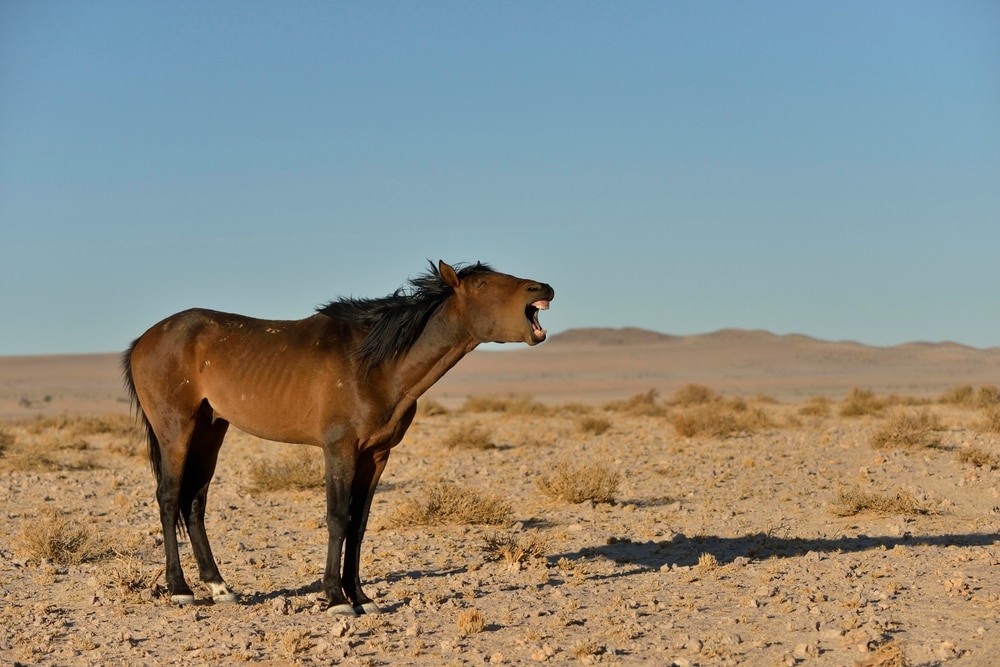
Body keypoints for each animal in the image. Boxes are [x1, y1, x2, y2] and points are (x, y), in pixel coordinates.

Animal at [122, 260, 554, 616]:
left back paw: (220, 588)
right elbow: (336, 519)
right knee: (169, 498)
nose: (544, 288)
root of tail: (144, 339)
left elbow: (358, 524)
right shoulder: (339, 449)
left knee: (194, 503)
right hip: (176, 429)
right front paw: (335, 599)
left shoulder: (376, 455)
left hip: (211, 428)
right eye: (481, 283)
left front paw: (360, 596)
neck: (374, 365)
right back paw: (180, 590)